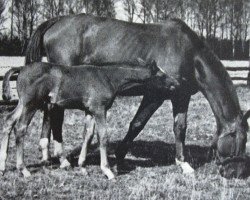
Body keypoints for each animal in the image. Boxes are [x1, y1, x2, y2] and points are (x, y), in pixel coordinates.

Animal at [0, 60, 176, 179]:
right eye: (161, 74)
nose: (176, 82)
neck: (108, 77)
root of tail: (21, 68)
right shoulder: (99, 110)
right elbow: (103, 136)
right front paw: (107, 170)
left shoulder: (90, 111)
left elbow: (88, 135)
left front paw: (82, 166)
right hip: (31, 104)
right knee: (20, 128)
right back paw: (23, 169)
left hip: (22, 103)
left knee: (8, 121)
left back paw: (2, 166)